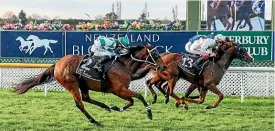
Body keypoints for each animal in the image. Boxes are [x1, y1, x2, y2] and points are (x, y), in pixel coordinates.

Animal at [12, 44, 168, 127]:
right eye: (155, 54)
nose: (164, 66)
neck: (123, 66)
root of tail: (57, 64)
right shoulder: (120, 89)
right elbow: (139, 97)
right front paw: (149, 113)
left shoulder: (117, 91)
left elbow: (131, 101)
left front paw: (116, 107)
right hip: (72, 85)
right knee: (80, 104)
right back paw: (95, 121)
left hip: (83, 85)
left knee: (86, 98)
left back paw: (105, 107)